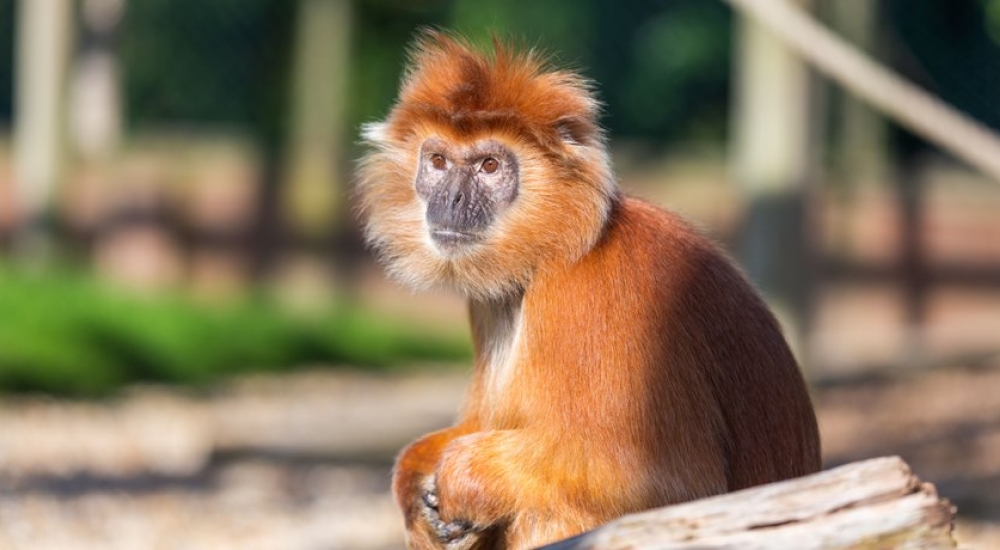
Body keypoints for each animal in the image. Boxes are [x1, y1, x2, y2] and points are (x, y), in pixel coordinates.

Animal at [357, 32, 821, 550]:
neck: (553, 252)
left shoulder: (599, 297)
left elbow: (672, 484)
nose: (451, 199)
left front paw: (459, 478)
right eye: (438, 162)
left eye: (490, 166)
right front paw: (416, 487)